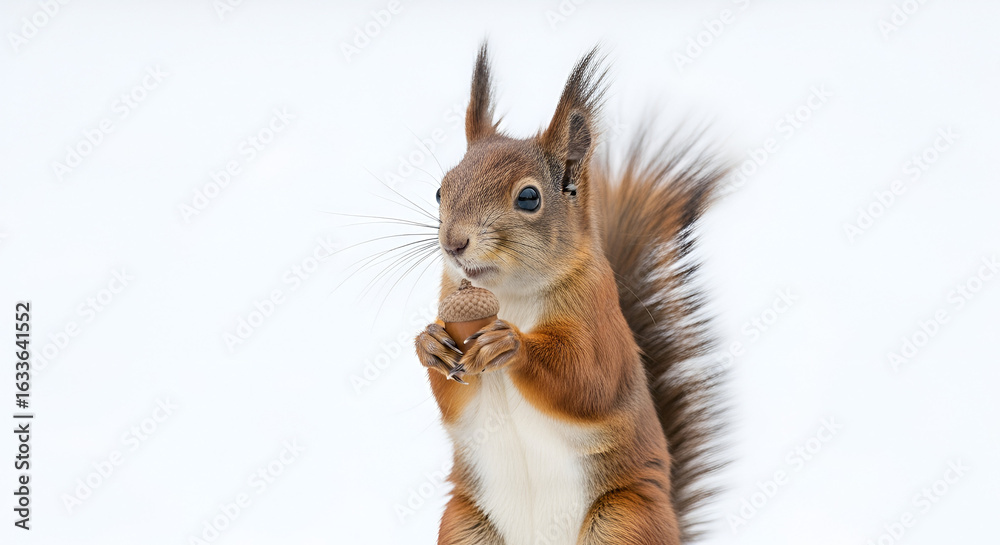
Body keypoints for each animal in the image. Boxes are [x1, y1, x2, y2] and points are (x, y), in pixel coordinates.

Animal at [414, 43, 728, 545]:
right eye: (441, 191)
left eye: (528, 198)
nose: (453, 243)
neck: (509, 295)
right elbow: (453, 401)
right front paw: (430, 343)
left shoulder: (602, 324)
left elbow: (588, 381)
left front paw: (510, 345)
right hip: (466, 525)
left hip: (623, 520)